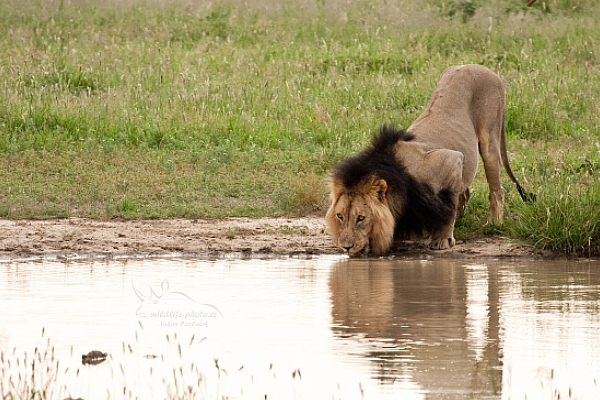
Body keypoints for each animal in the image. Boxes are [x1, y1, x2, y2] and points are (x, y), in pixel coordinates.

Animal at [326, 63, 536, 255]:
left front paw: (442, 239)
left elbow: (448, 208)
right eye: (340, 216)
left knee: (496, 190)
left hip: (489, 140)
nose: (345, 247)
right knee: (465, 192)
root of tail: (480, 66)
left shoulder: (451, 160)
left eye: (360, 218)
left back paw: (493, 222)